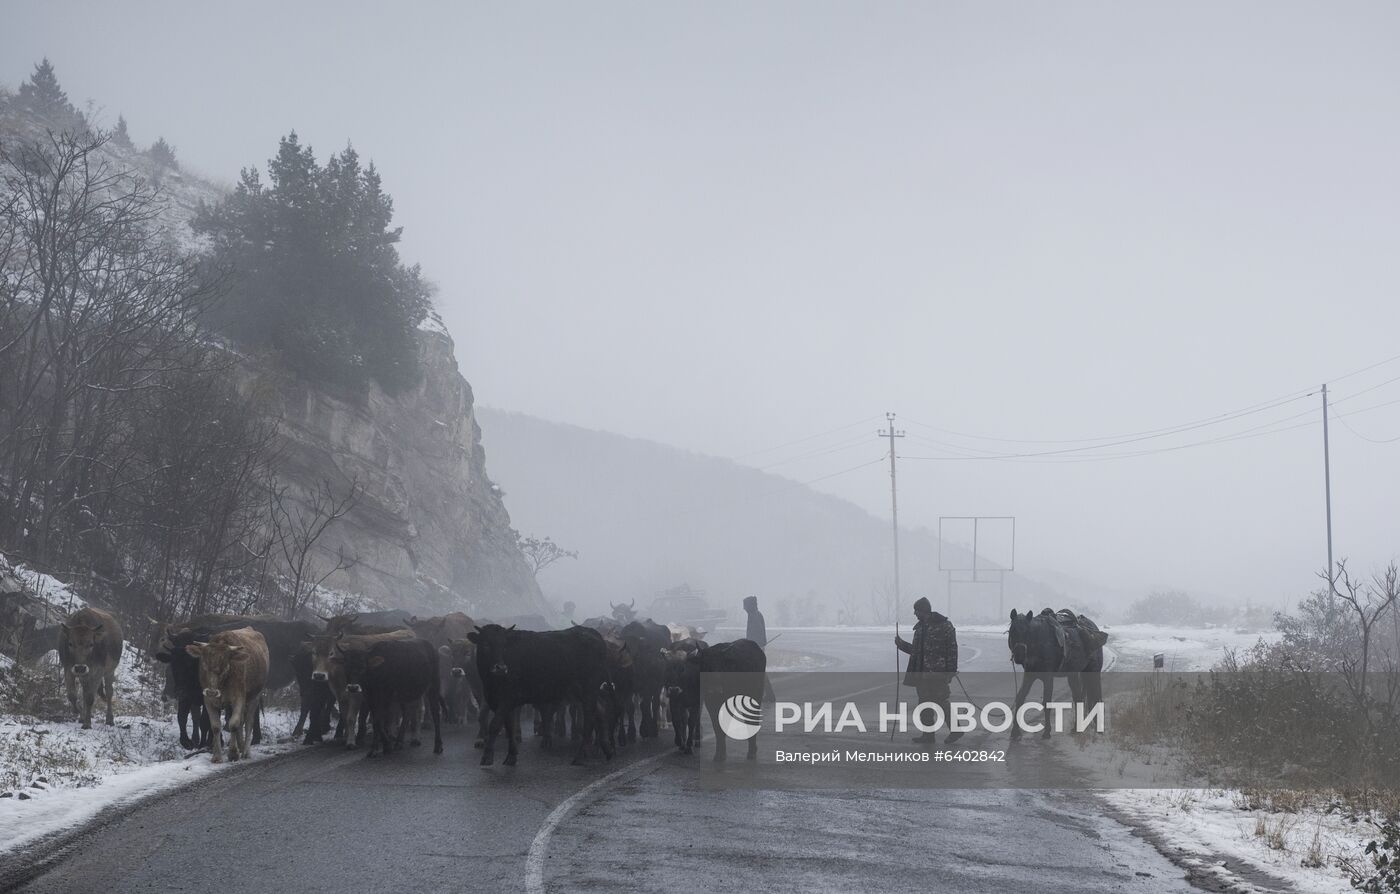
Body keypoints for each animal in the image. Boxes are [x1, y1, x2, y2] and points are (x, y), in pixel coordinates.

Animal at [58, 604, 124, 733]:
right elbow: (72, 695)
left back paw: (110, 719)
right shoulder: (68, 667)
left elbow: (90, 697)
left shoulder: (98, 671)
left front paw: (87, 723)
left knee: (109, 692)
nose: (80, 668)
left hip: (110, 670)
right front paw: (80, 713)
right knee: (84, 690)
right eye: (70, 643)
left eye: (91, 644)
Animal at [184, 629, 268, 761]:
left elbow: (233, 724)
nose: (212, 692)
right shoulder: (208, 700)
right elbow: (215, 726)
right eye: (204, 665)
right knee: (241, 721)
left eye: (225, 667)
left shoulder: (239, 698)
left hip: (255, 696)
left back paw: (245, 752)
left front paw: (233, 753)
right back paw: (241, 746)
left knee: (248, 722)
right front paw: (217, 756)